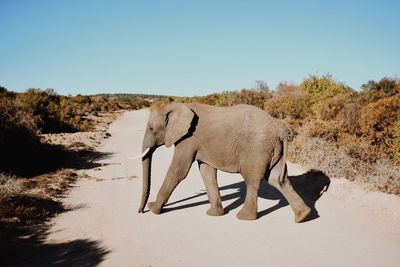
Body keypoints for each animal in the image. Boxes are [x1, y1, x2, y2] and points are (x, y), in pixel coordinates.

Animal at [136, 103, 310, 223]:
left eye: (151, 128)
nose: (140, 212)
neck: (175, 107)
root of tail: (280, 131)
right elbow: (207, 172)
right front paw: (214, 214)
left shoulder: (188, 139)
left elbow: (178, 171)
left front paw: (154, 209)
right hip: (272, 149)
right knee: (278, 180)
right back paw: (303, 216)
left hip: (257, 149)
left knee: (253, 180)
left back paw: (244, 217)